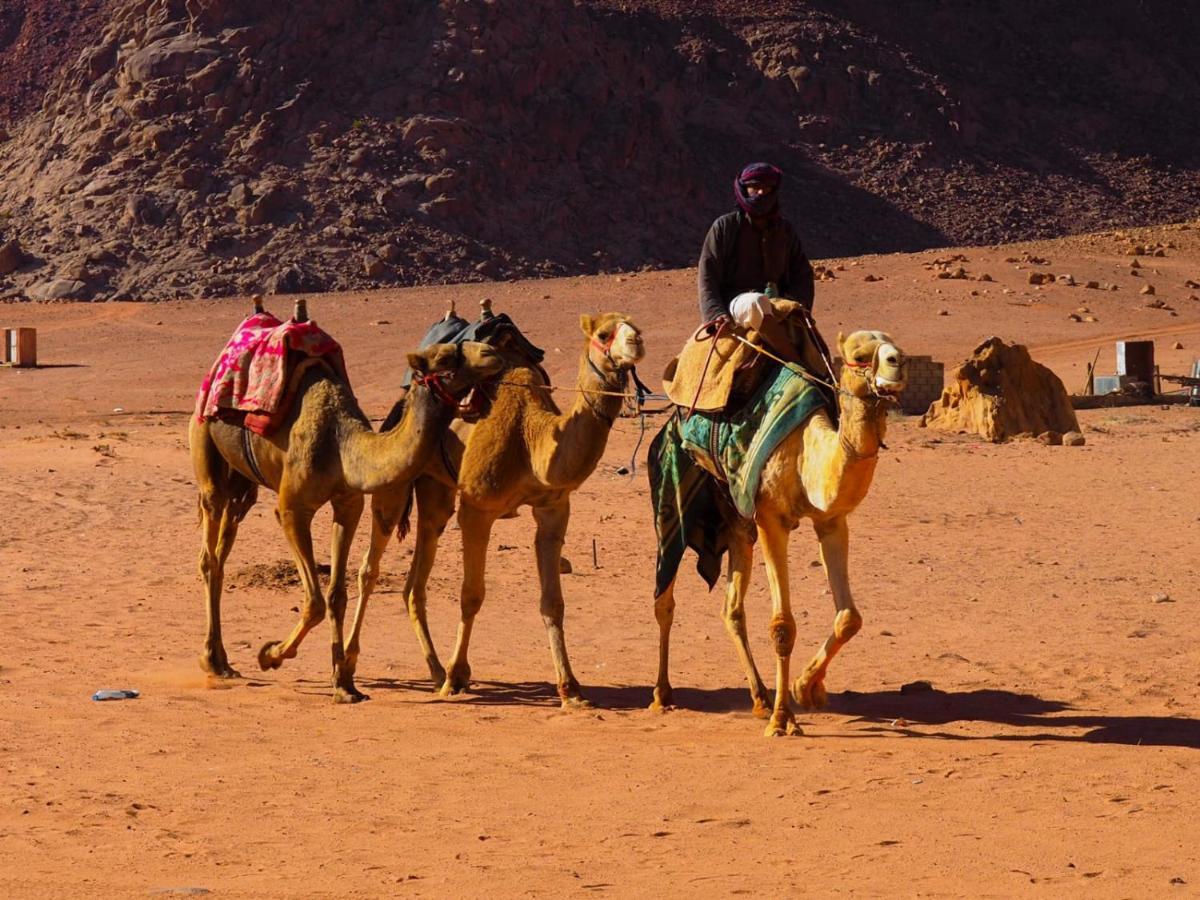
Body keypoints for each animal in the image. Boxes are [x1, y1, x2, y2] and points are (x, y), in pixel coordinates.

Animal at [188, 326, 506, 705]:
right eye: (444, 358)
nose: (491, 352)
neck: (340, 444)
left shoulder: (348, 505)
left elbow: (336, 596)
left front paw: (344, 684)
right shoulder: (292, 509)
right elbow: (314, 601)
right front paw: (270, 655)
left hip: (243, 484)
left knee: (223, 550)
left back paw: (223, 661)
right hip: (204, 443)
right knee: (209, 554)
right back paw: (211, 661)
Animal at [348, 314, 648, 710]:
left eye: (634, 325)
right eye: (603, 333)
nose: (636, 342)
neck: (530, 438)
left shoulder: (554, 508)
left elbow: (553, 602)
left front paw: (571, 689)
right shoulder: (477, 508)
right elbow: (471, 595)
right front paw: (457, 677)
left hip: (435, 491)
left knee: (415, 580)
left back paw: (435, 670)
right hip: (395, 481)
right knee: (370, 569)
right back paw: (352, 666)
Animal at [652, 307, 902, 734]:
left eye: (893, 343)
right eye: (857, 353)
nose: (897, 362)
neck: (807, 454)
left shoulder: (831, 519)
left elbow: (849, 618)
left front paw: (806, 689)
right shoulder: (771, 519)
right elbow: (783, 625)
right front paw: (783, 720)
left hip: (736, 525)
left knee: (731, 609)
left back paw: (759, 698)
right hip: (671, 498)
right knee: (664, 599)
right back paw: (662, 694)